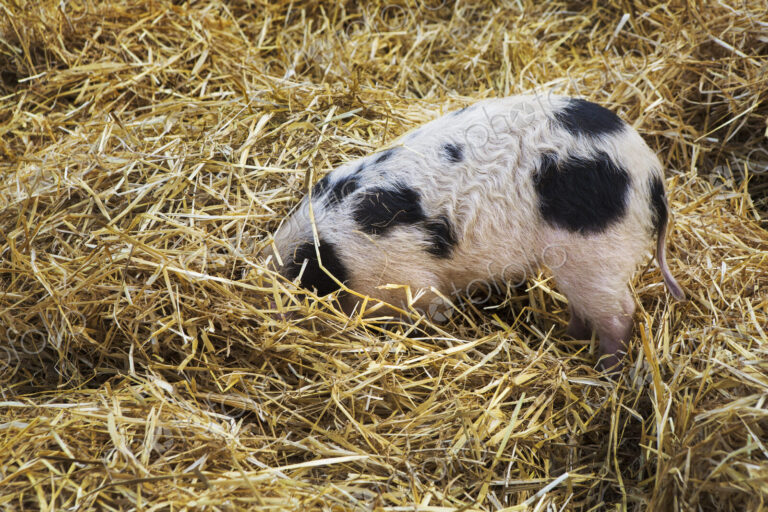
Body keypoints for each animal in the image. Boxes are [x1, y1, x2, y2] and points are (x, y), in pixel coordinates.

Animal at [264, 94, 685, 371]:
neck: (333, 255)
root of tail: (652, 176)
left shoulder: (409, 282)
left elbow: (432, 311)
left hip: (597, 253)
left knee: (621, 312)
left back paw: (605, 368)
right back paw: (569, 337)